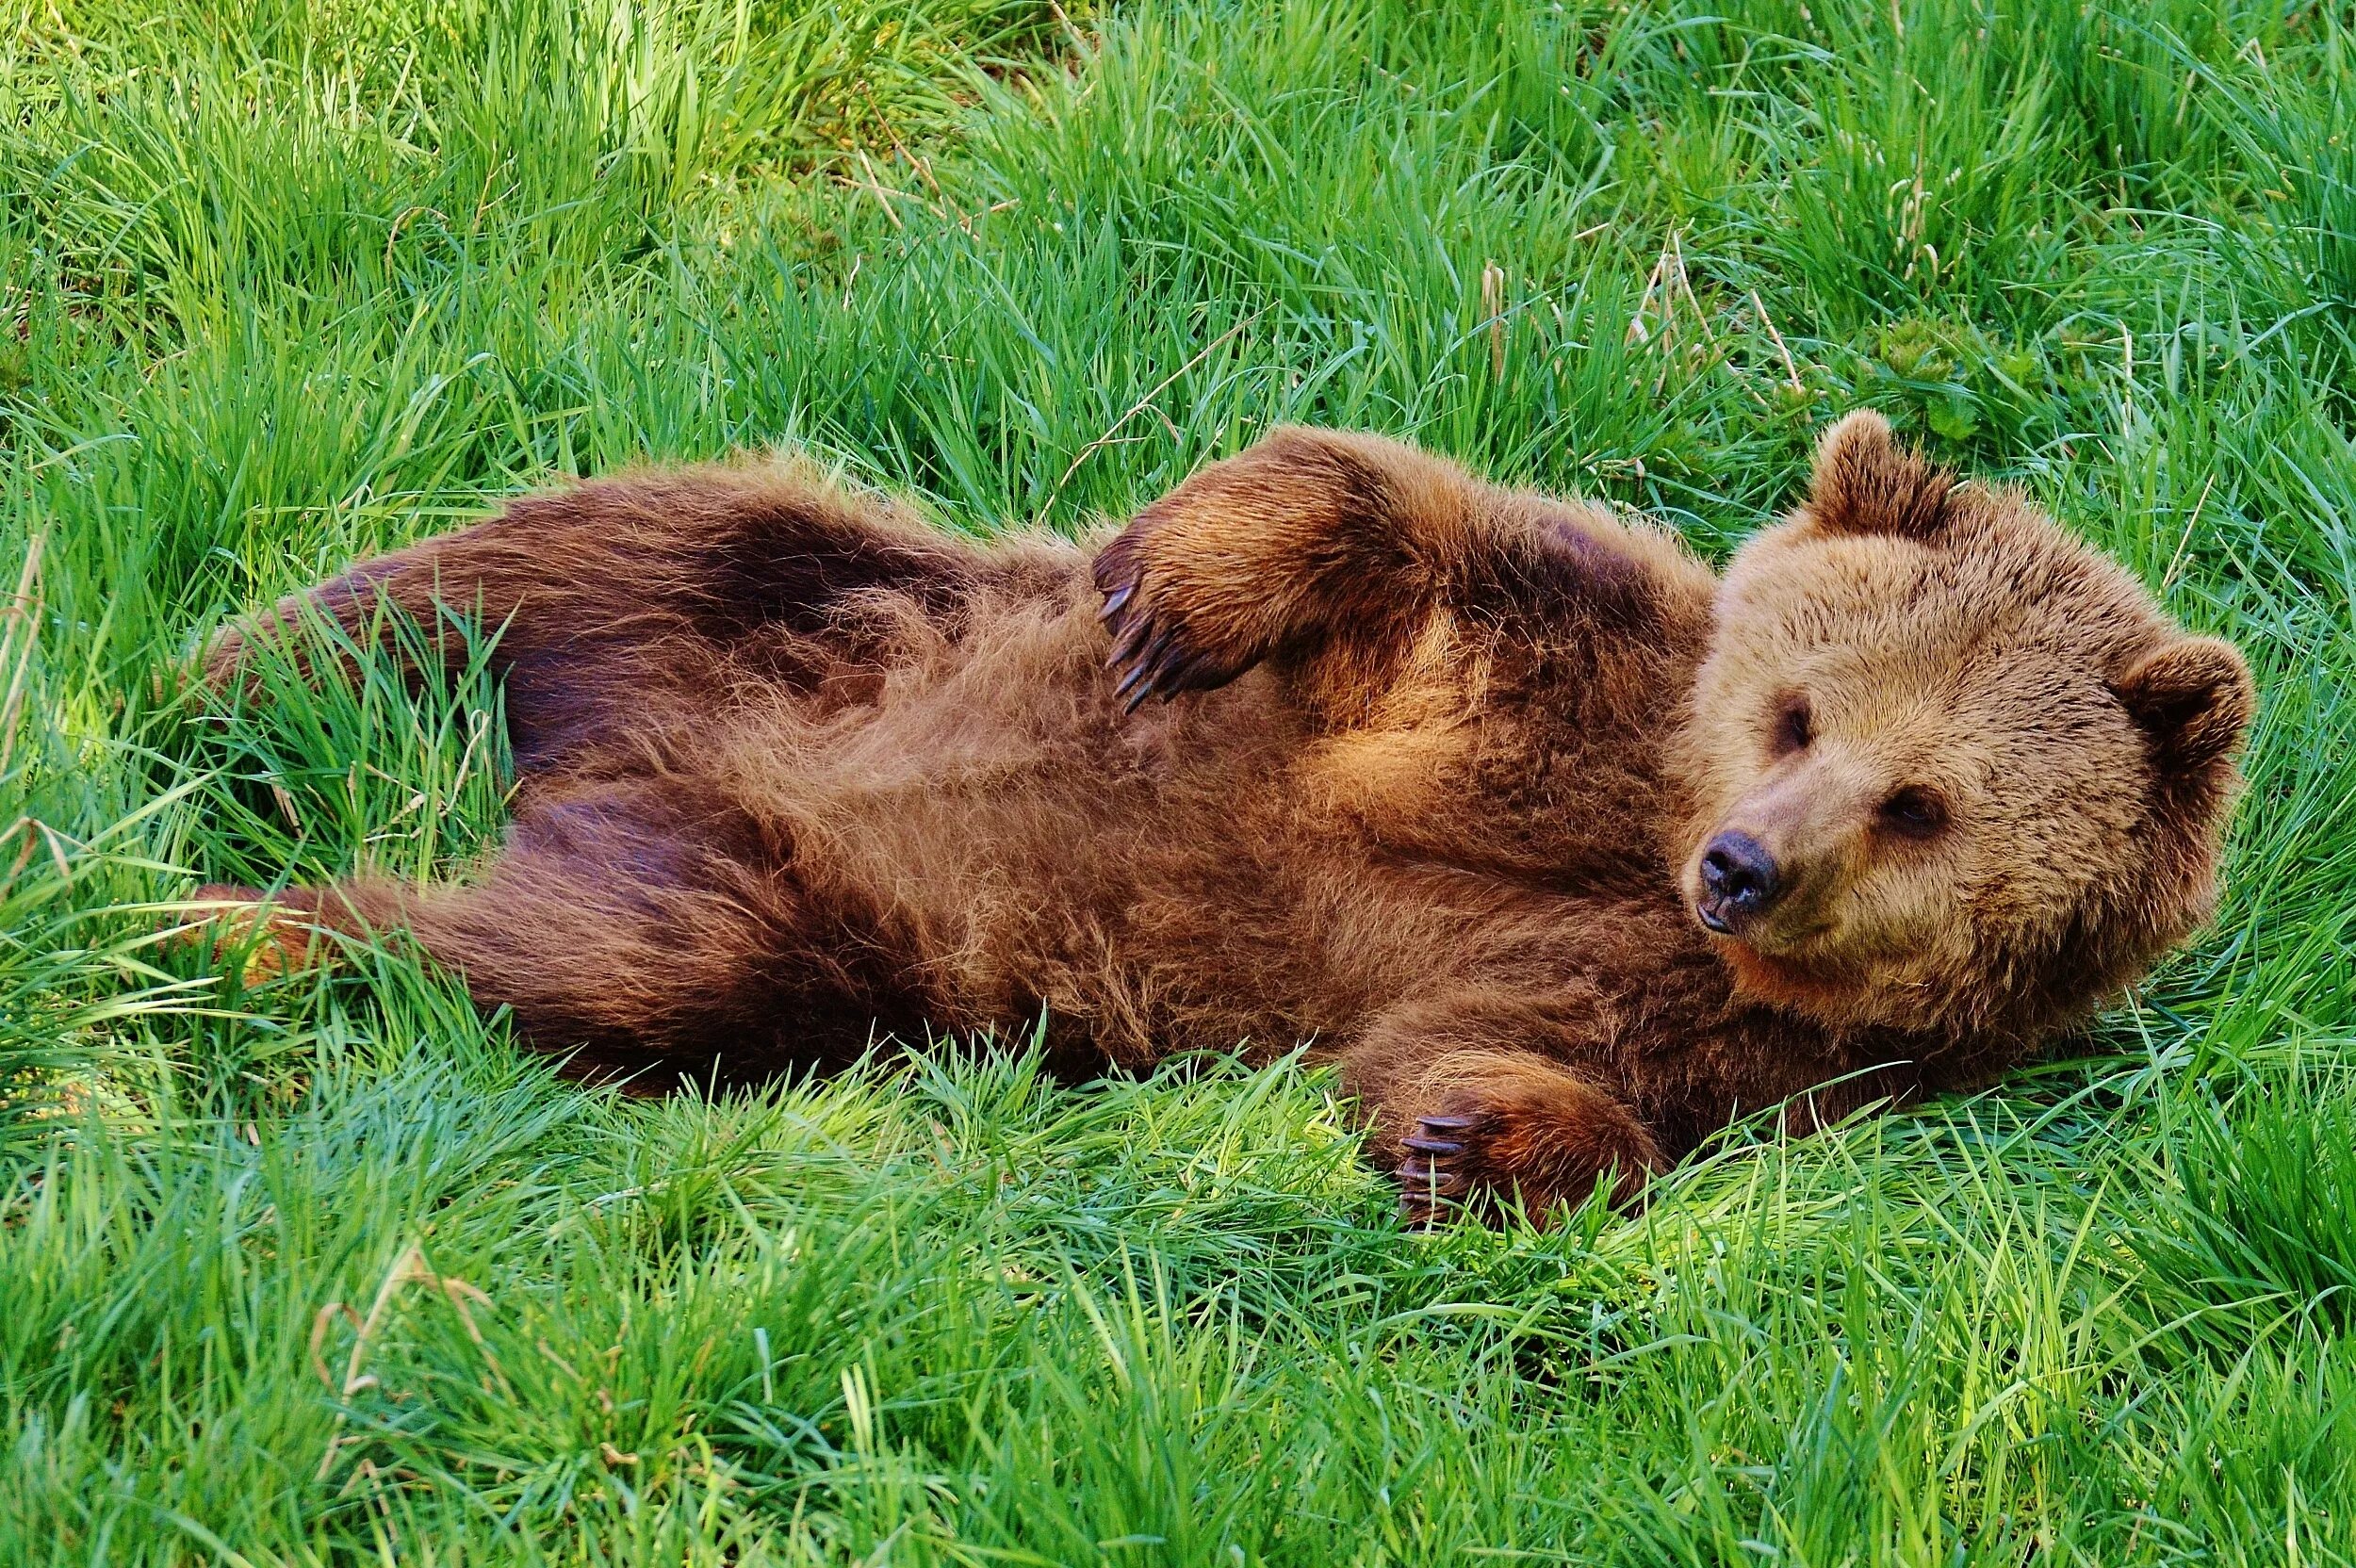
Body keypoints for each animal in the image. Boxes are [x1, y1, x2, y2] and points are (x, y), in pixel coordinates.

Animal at [193, 409, 2252, 1215]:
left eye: (1920, 804)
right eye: (1796, 705)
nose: (1747, 863)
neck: (1629, 839)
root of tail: (624, 771)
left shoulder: (1745, 1043)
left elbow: (1499, 1047)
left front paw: (1474, 1137)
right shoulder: (1543, 688)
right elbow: (1404, 537)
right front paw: (1184, 586)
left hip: (818, 920)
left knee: (622, 964)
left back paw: (269, 926)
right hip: (815, 610)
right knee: (546, 570)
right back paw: (219, 721)